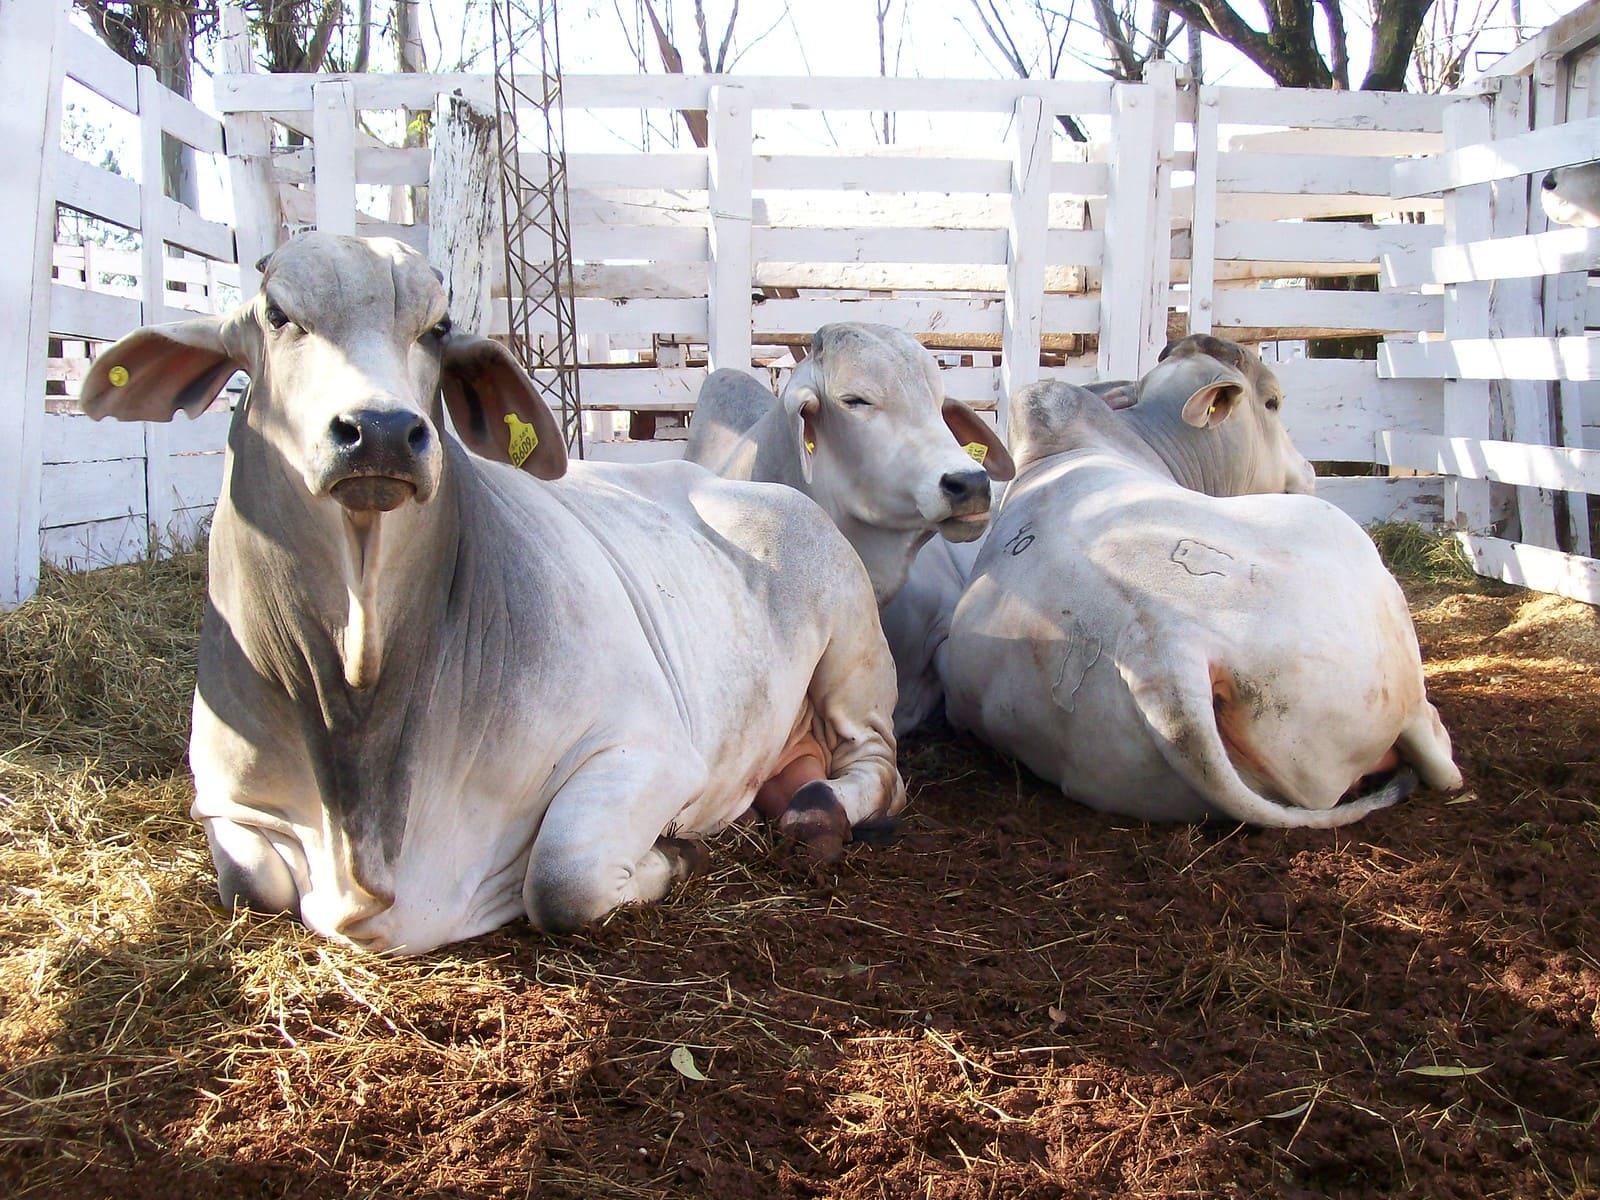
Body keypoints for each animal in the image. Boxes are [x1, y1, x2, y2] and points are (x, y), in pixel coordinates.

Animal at [78, 233, 904, 954]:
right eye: (279, 315)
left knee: (877, 766)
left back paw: (817, 811)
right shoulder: (224, 797)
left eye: (437, 329)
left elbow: (562, 878)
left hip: (855, 653)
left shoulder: (650, 750)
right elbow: (250, 886)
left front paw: (676, 857)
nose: (382, 430)